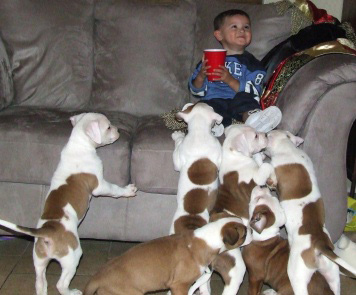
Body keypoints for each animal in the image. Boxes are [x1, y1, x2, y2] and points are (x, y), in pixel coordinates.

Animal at [0, 112, 138, 294]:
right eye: (108, 127)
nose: (118, 130)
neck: (78, 145)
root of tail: (46, 232)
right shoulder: (100, 186)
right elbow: (114, 189)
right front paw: (128, 190)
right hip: (72, 256)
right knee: (60, 284)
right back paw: (73, 291)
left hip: (39, 260)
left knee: (40, 282)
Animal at [209, 123, 276, 295]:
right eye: (256, 136)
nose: (266, 134)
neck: (234, 154)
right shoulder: (256, 178)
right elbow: (265, 166)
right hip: (236, 265)